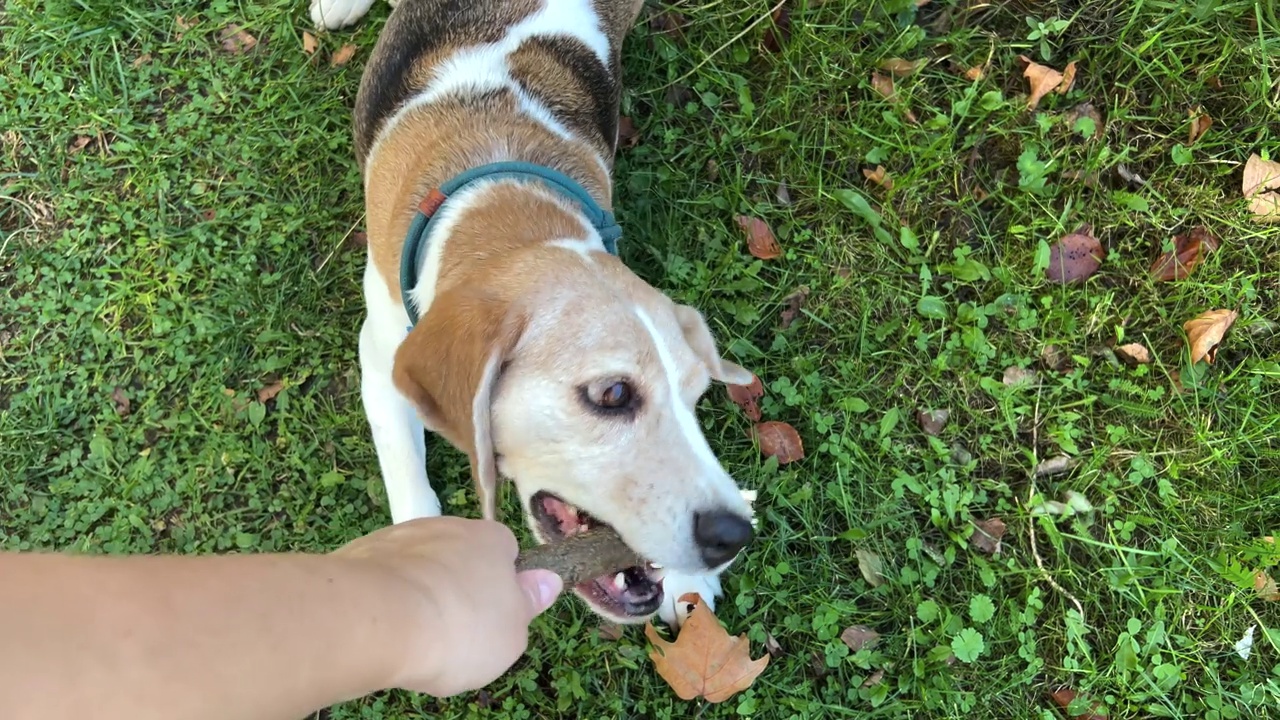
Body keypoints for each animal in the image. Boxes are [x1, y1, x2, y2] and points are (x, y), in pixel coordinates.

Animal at [320, 0, 752, 625]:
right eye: (612, 395)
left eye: (695, 399)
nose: (736, 535)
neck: (509, 200)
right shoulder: (381, 364)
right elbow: (411, 484)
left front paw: (681, 583)